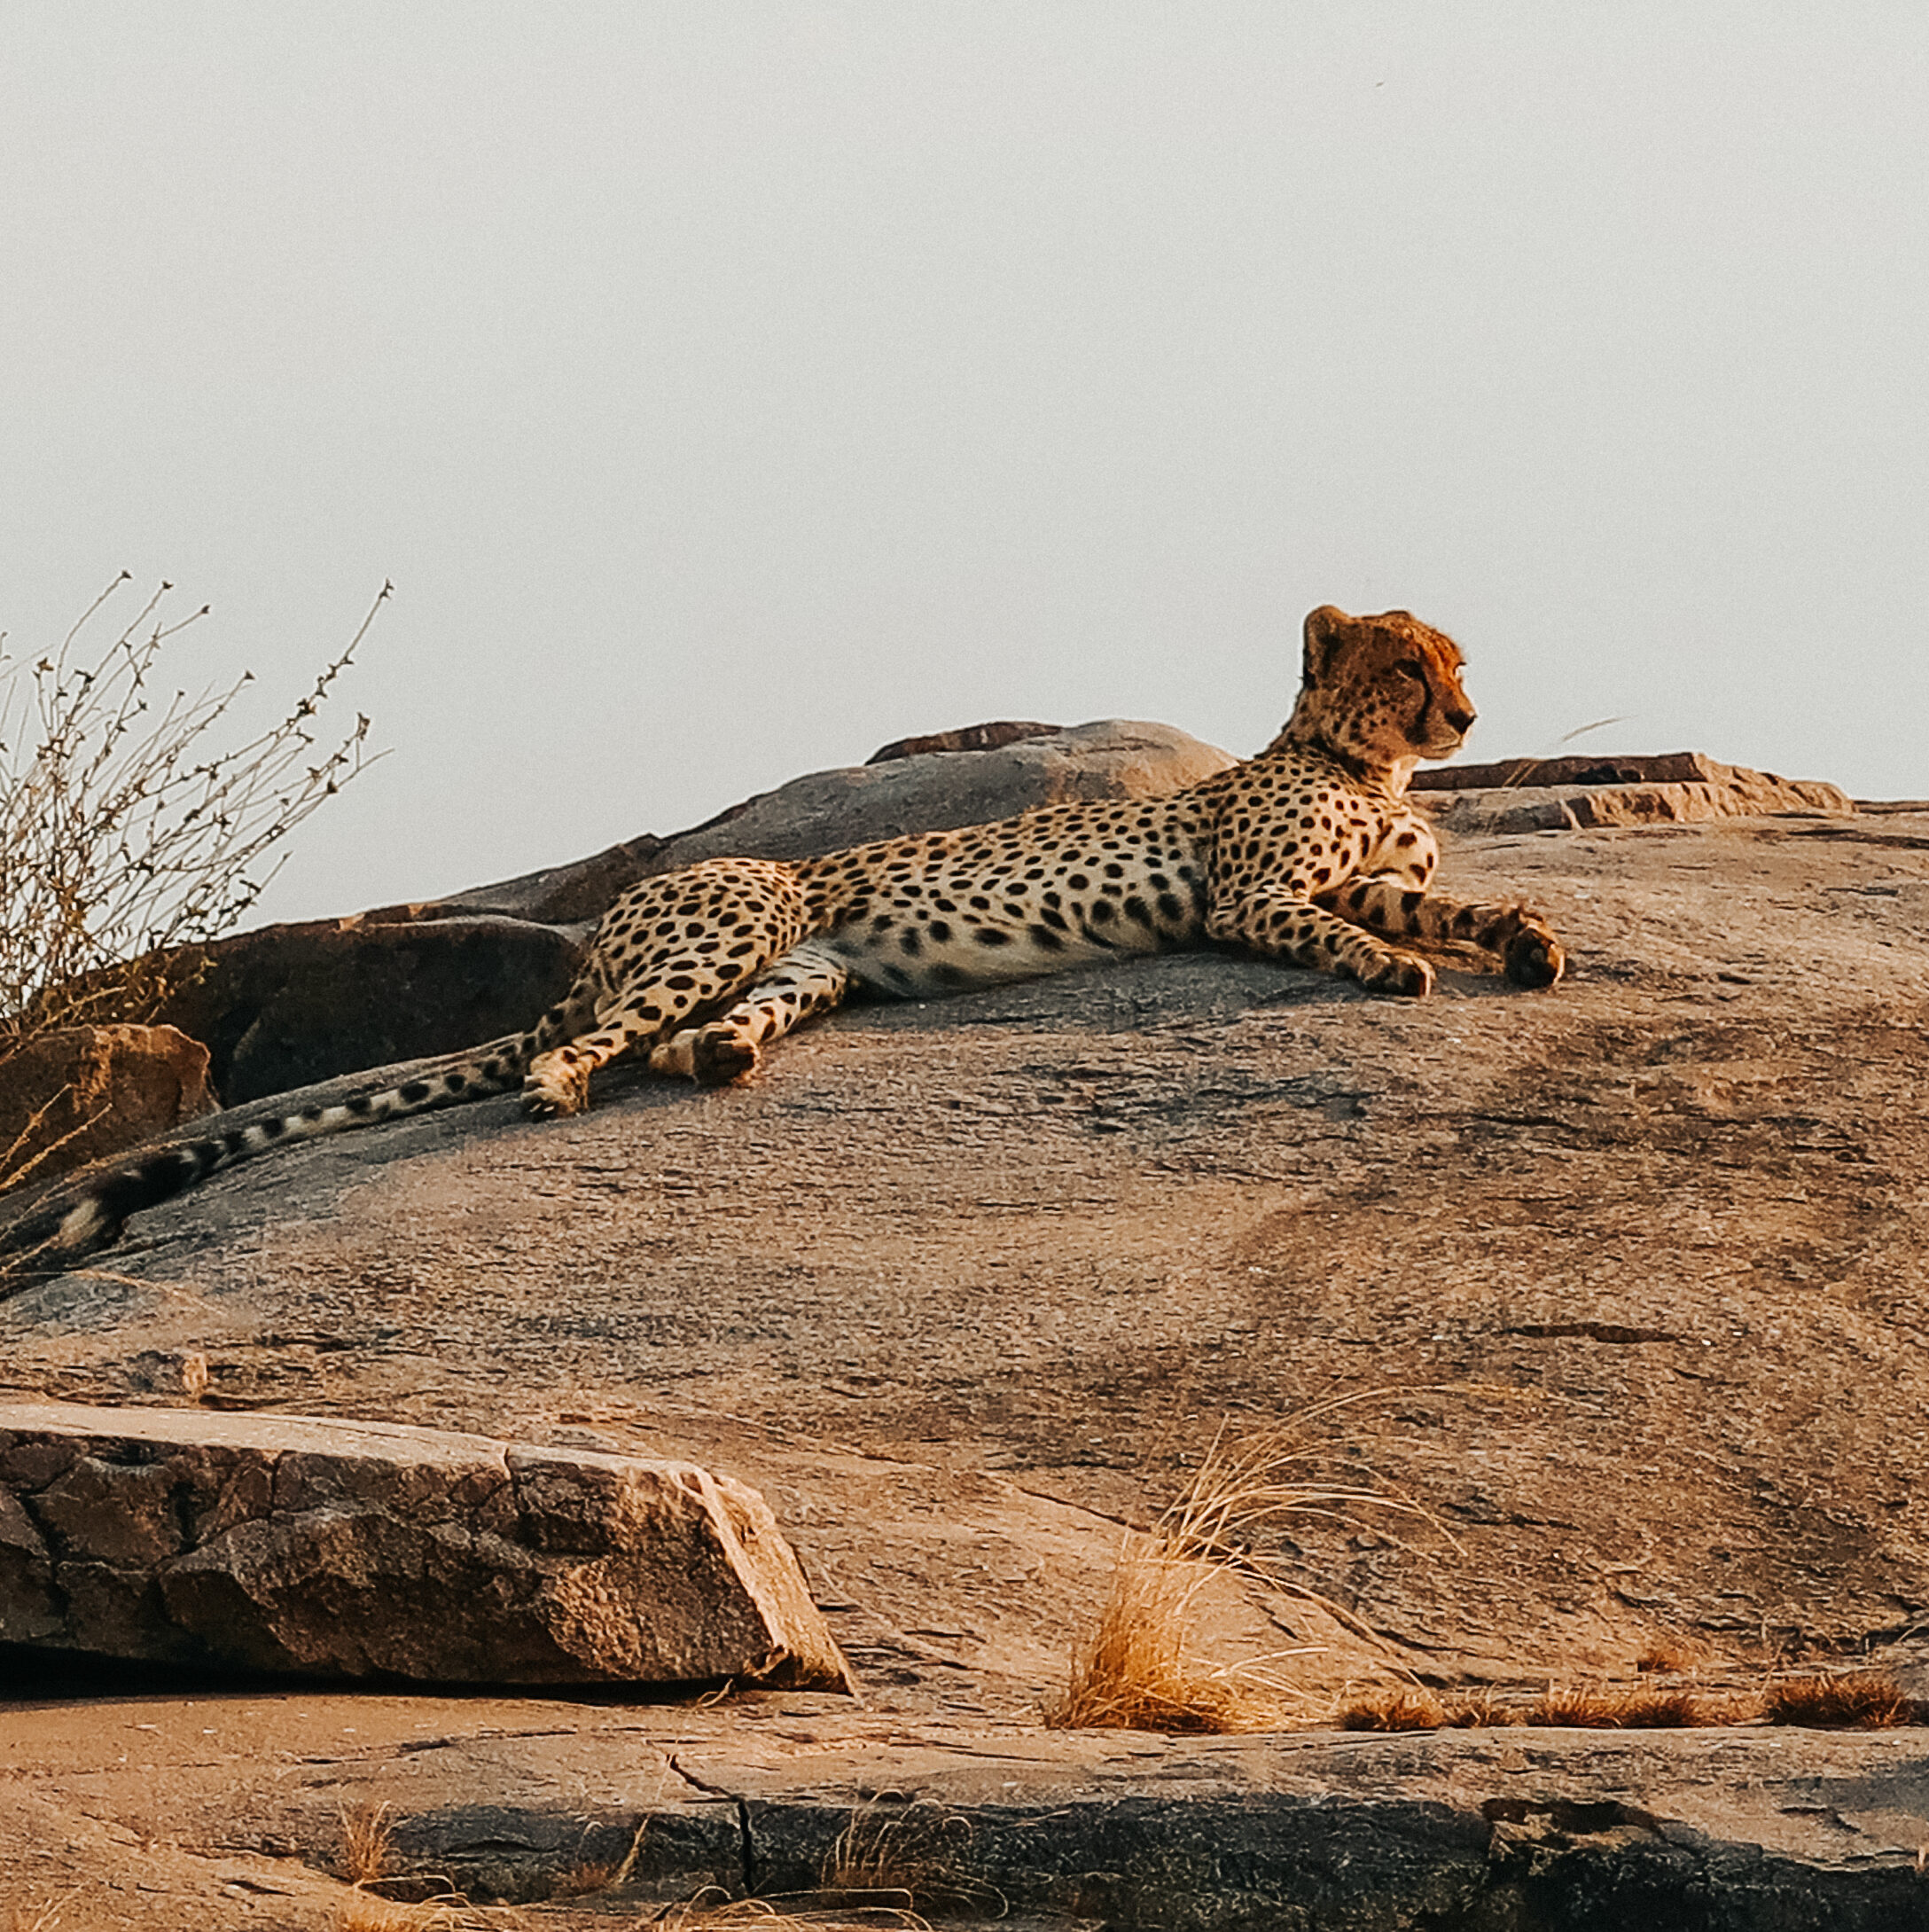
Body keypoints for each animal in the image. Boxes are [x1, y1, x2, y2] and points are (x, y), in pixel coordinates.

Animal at [29, 603, 1562, 1263]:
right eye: (1409, 666)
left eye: (1456, 663)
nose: (1471, 716)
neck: (1370, 767)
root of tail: (617, 917)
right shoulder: (1255, 895)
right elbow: (1346, 932)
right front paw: (1401, 968)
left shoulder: (1364, 873)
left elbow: (1451, 901)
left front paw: (1529, 941)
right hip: (740, 916)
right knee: (598, 1040)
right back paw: (560, 1082)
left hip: (810, 968)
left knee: (690, 1041)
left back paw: (722, 1061)